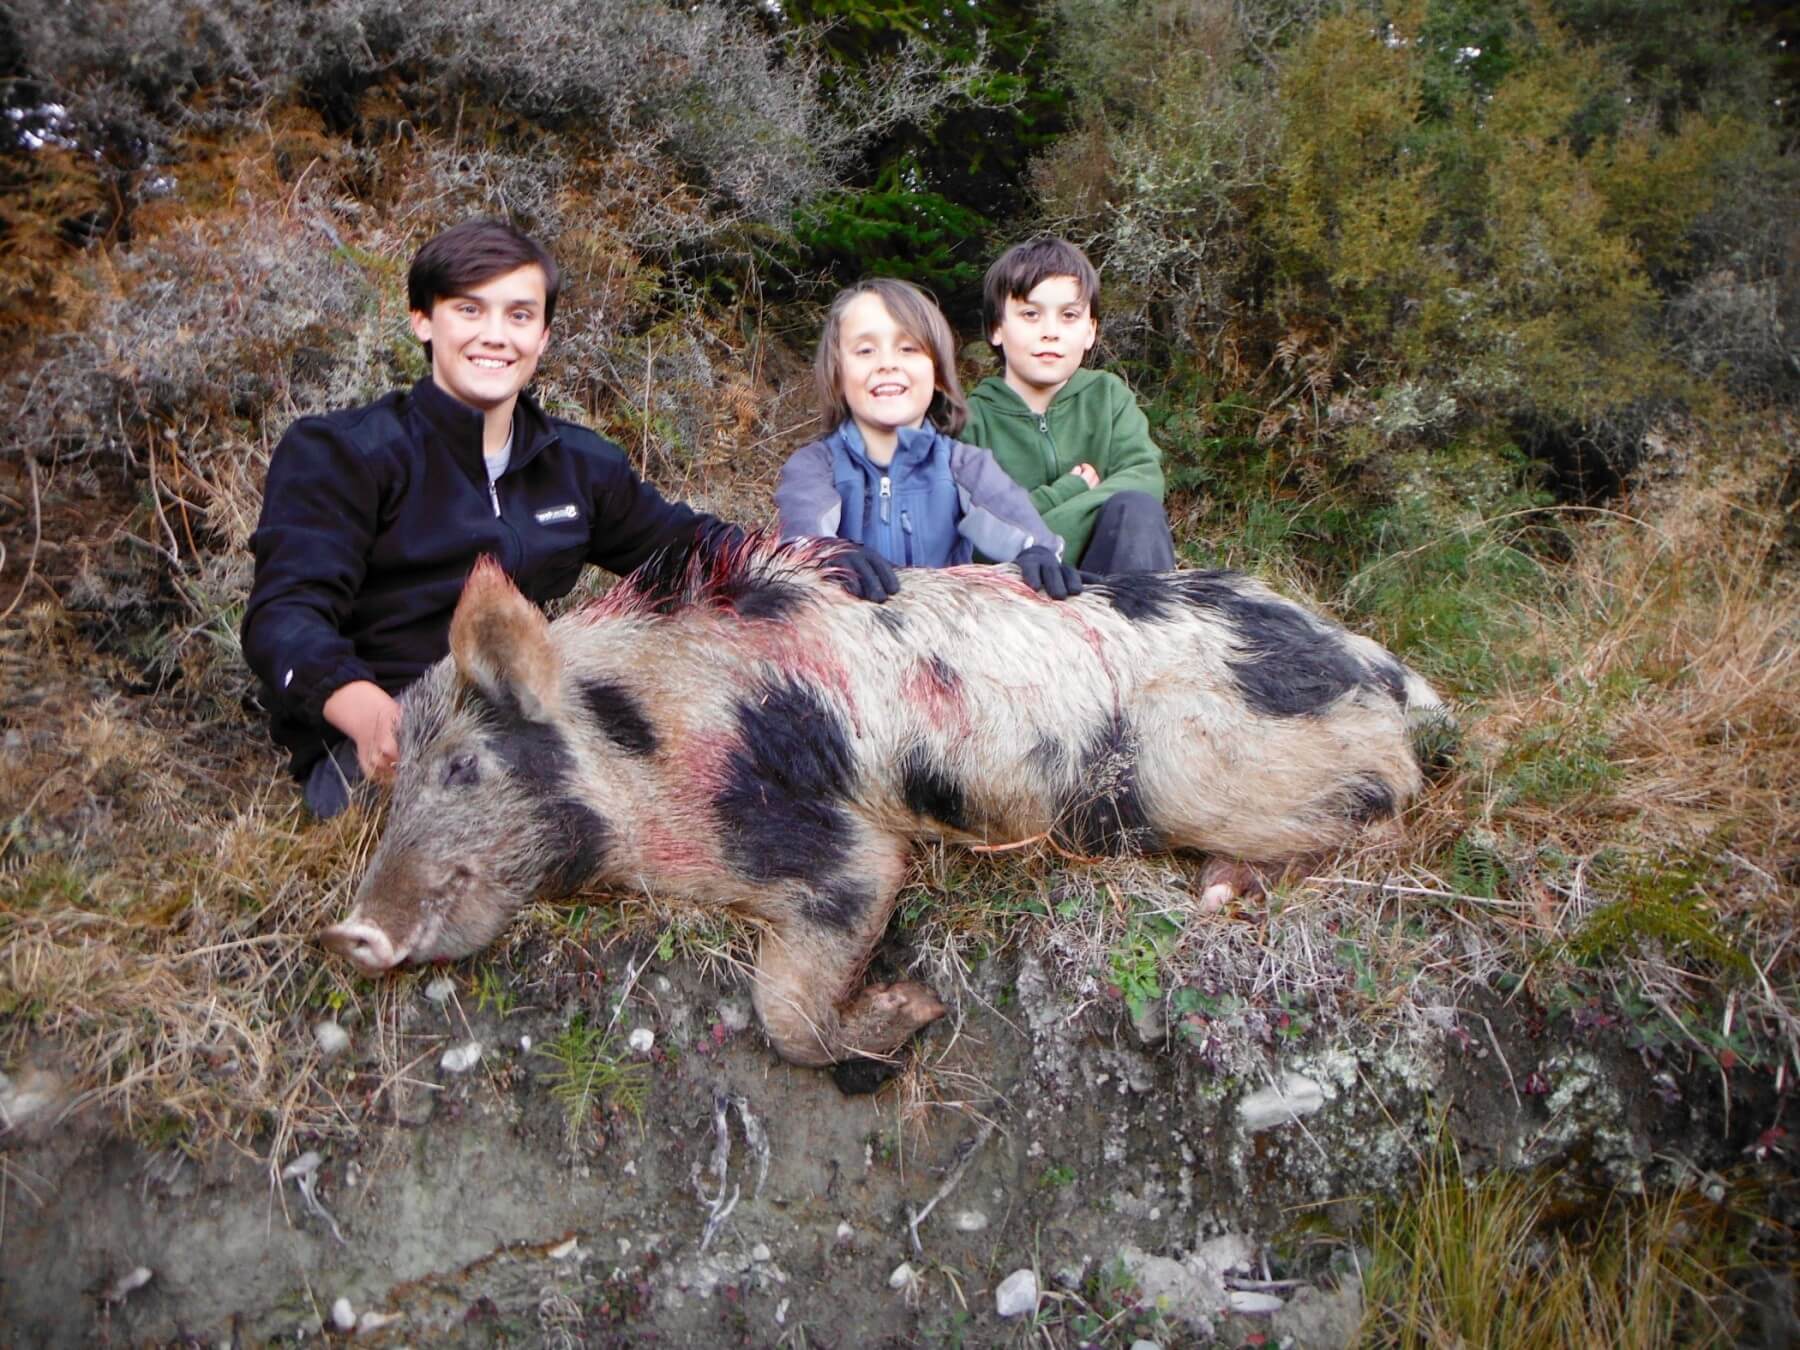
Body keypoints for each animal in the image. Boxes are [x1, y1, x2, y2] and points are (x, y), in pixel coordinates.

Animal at [321, 532, 1453, 1072]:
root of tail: (1383, 666)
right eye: (391, 781)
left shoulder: (835, 843)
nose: (348, 932)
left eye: (465, 767)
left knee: (1386, 809)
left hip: (1195, 762)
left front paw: (916, 1012)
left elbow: (788, 999)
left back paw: (1220, 887)